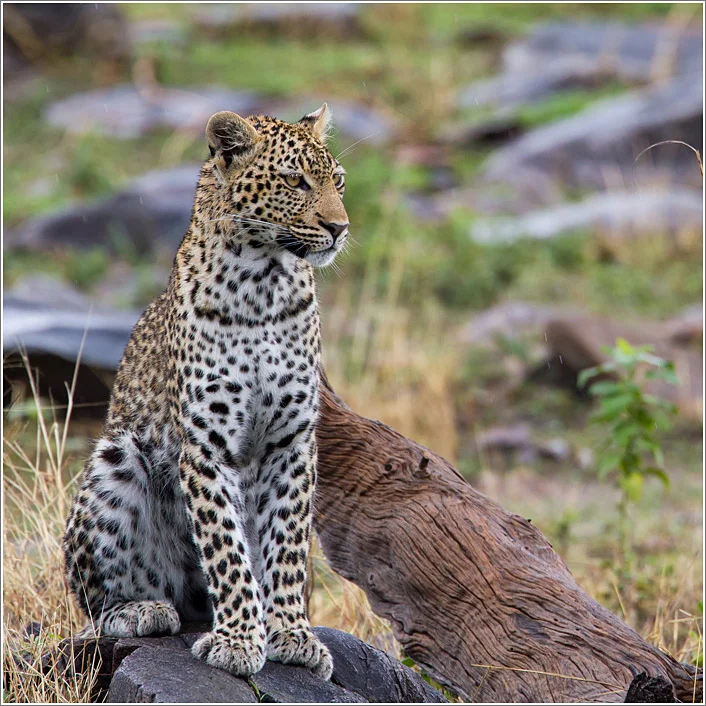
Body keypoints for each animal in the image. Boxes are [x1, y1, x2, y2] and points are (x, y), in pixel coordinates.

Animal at [62, 103, 349, 681]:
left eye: (339, 181)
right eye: (295, 182)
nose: (340, 227)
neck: (265, 284)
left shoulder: (291, 442)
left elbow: (286, 545)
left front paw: (291, 633)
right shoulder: (207, 445)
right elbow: (226, 547)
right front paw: (239, 640)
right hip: (115, 459)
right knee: (95, 606)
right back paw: (142, 610)